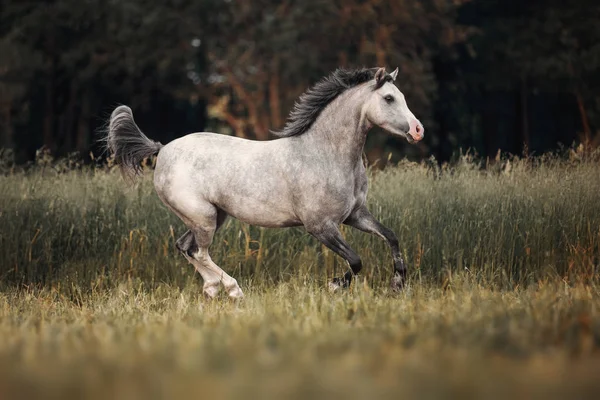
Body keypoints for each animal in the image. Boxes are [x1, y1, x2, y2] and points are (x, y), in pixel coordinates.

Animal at [109, 67, 426, 298]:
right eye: (389, 99)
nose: (418, 131)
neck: (325, 153)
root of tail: (162, 149)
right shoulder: (320, 226)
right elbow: (356, 260)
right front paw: (335, 284)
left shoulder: (355, 215)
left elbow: (391, 236)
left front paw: (398, 285)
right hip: (203, 217)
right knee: (199, 251)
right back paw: (233, 289)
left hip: (212, 216)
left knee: (185, 247)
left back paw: (212, 289)